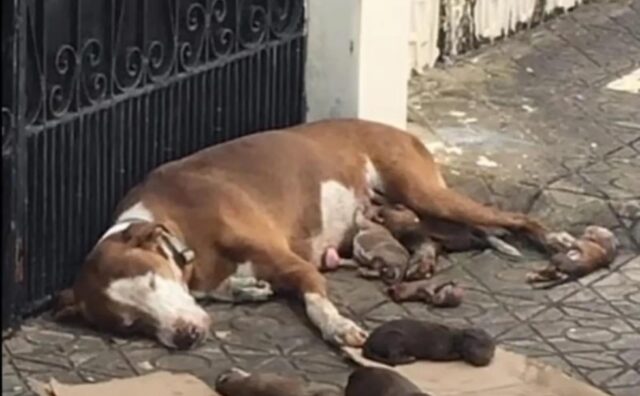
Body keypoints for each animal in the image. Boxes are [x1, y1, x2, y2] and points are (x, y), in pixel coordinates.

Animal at [53, 118, 544, 350]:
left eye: (155, 283)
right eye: (131, 325)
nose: (185, 336)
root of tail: (397, 129)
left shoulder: (293, 264)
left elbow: (315, 301)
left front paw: (339, 327)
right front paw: (247, 289)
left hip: (425, 192)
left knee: (516, 221)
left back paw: (554, 246)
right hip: (408, 211)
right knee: (434, 236)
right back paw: (422, 260)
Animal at [360, 318, 496, 368]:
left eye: (491, 350)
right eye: (479, 345)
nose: (484, 358)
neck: (455, 339)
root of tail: (368, 341)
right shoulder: (440, 349)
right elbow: (444, 355)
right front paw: (457, 354)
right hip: (394, 337)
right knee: (393, 358)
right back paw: (408, 358)